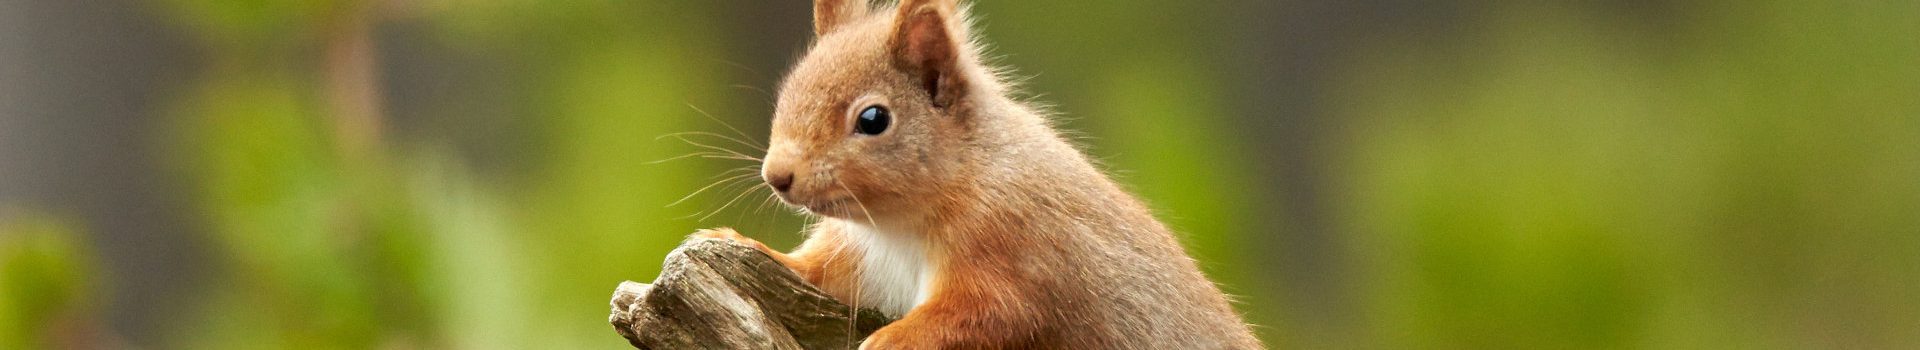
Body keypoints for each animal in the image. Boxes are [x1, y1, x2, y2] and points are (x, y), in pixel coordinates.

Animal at [698, 0, 1267, 348]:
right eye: (790, 87)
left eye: (873, 119)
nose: (778, 175)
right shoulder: (862, 261)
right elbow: (816, 274)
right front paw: (740, 243)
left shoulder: (1010, 250)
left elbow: (984, 313)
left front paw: (890, 339)